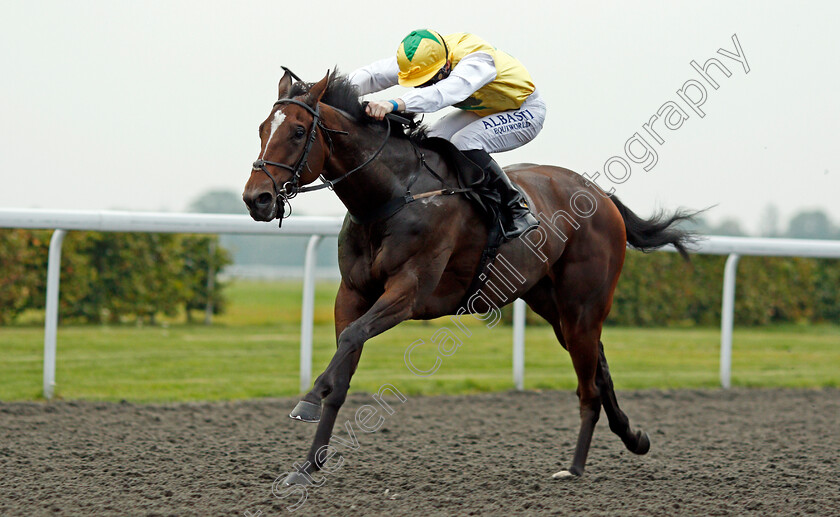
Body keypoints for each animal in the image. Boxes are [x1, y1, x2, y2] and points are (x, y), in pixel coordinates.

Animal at [241, 70, 696, 482]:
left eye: (299, 131)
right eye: (262, 128)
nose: (255, 199)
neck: (394, 196)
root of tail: (602, 196)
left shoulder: (408, 292)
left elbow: (351, 340)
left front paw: (307, 400)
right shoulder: (351, 293)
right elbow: (343, 368)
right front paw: (306, 467)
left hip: (583, 305)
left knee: (589, 386)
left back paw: (575, 467)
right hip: (553, 305)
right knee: (598, 368)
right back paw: (633, 438)